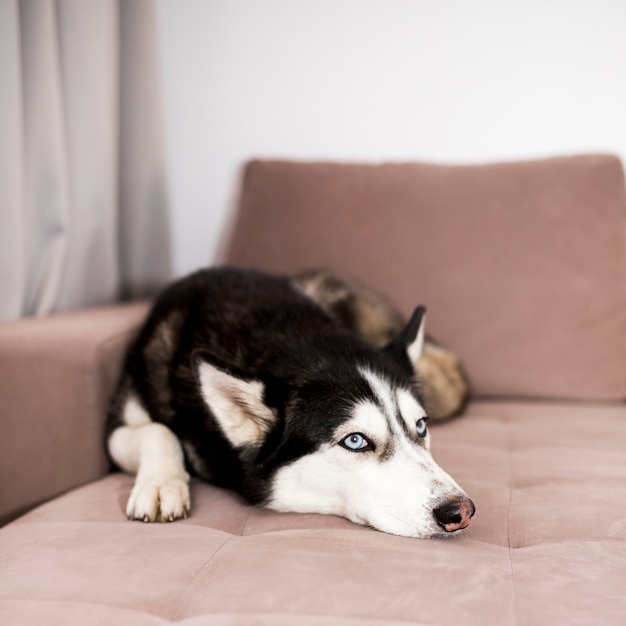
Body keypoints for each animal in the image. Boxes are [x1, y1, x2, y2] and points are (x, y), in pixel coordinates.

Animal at [106, 266, 472, 532]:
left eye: (420, 426)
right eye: (355, 441)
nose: (460, 510)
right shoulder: (118, 426)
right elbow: (158, 431)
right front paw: (161, 485)